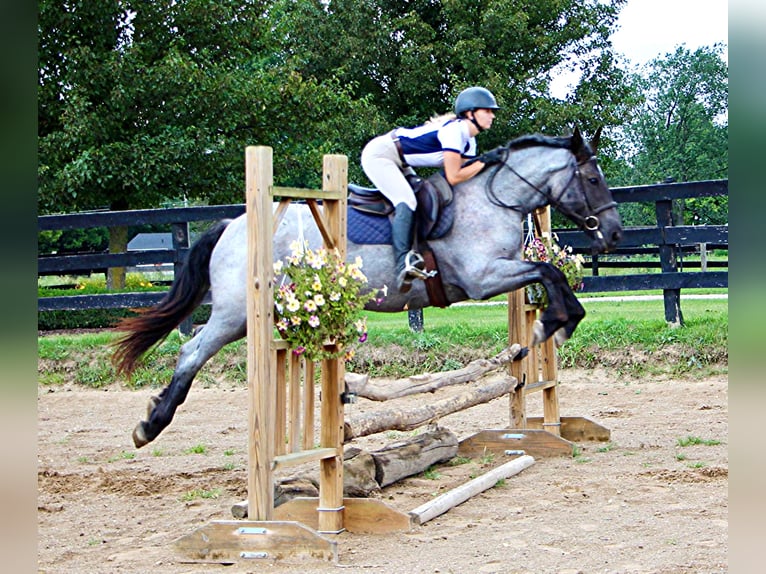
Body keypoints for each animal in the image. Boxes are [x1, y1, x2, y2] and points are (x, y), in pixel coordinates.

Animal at [111, 127, 620, 450]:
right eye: (592, 178)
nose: (613, 233)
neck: (496, 198)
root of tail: (233, 225)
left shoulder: (499, 271)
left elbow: (549, 276)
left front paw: (554, 325)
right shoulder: (483, 277)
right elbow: (550, 274)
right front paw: (554, 324)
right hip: (238, 312)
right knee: (192, 350)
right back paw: (150, 425)